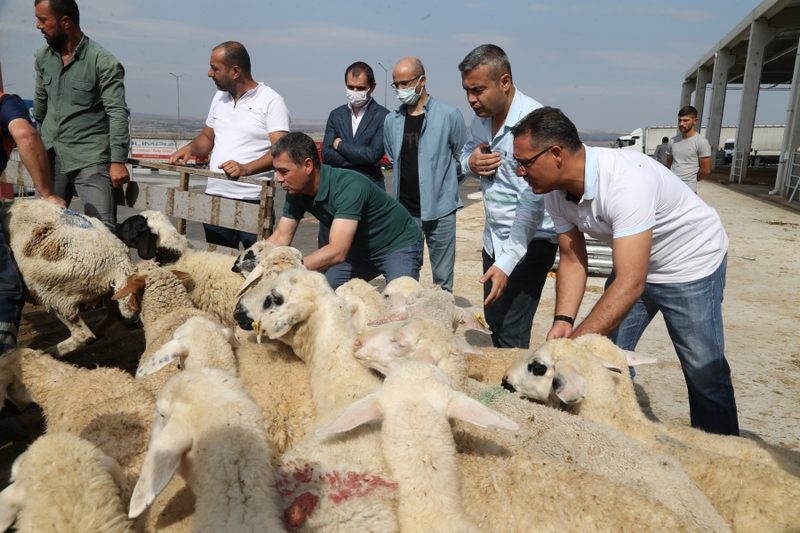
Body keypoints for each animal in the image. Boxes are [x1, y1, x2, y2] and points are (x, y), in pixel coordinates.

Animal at [3, 197, 138, 356]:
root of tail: (120, 262)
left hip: (55, 295)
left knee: (83, 335)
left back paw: (49, 352)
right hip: (112, 294)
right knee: (114, 316)